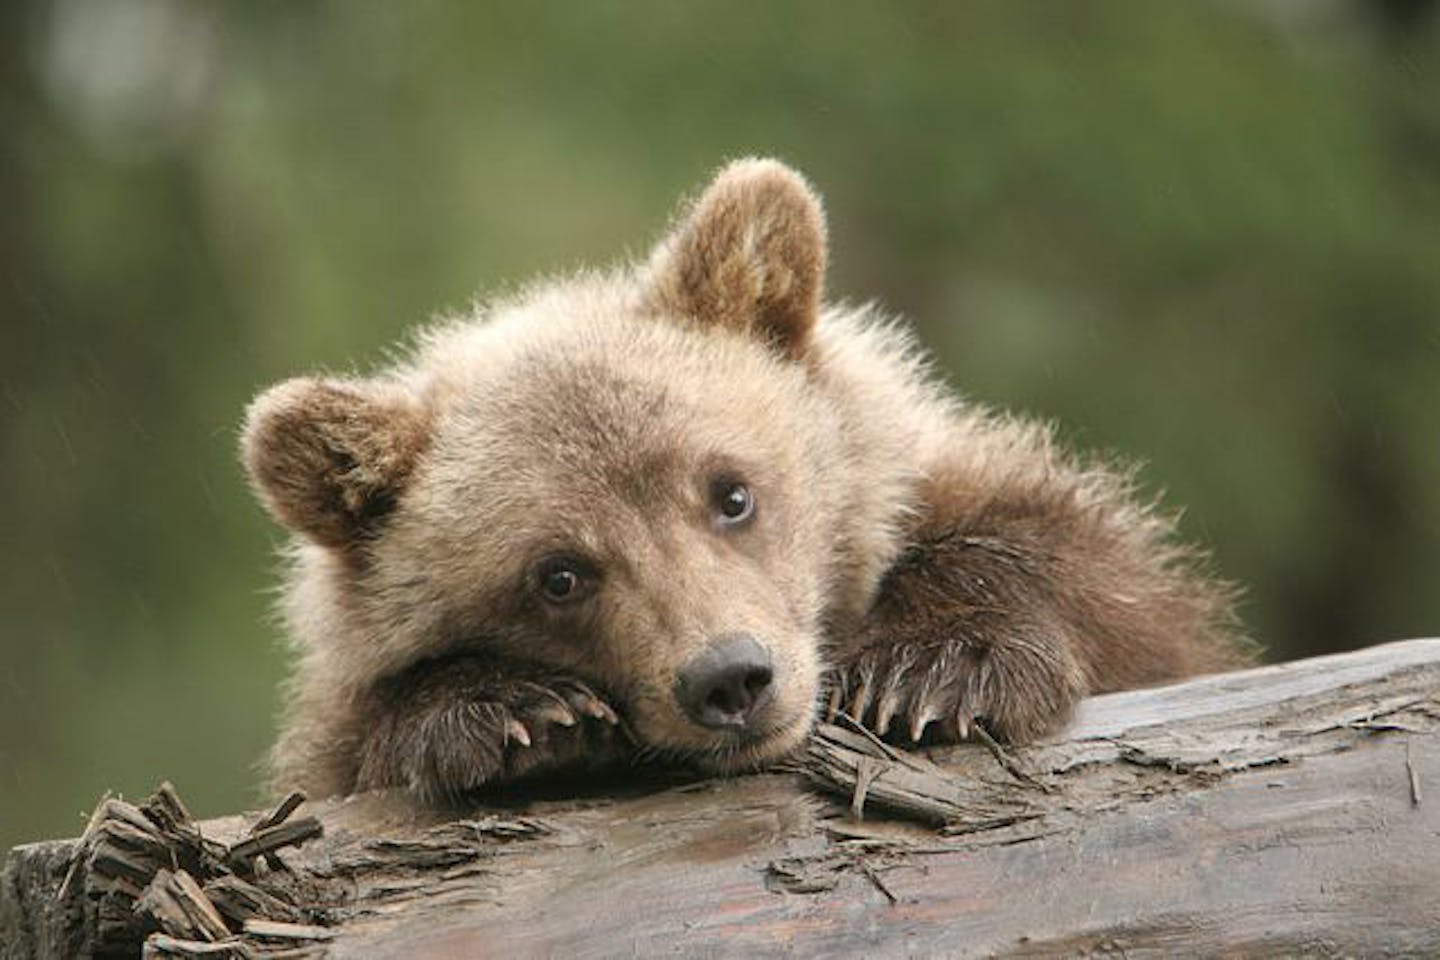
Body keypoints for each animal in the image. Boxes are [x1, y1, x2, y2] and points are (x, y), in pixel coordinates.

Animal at [241, 157, 1244, 805]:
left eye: (731, 492)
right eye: (557, 573)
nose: (730, 679)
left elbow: (1087, 579)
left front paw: (931, 671)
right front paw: (515, 712)